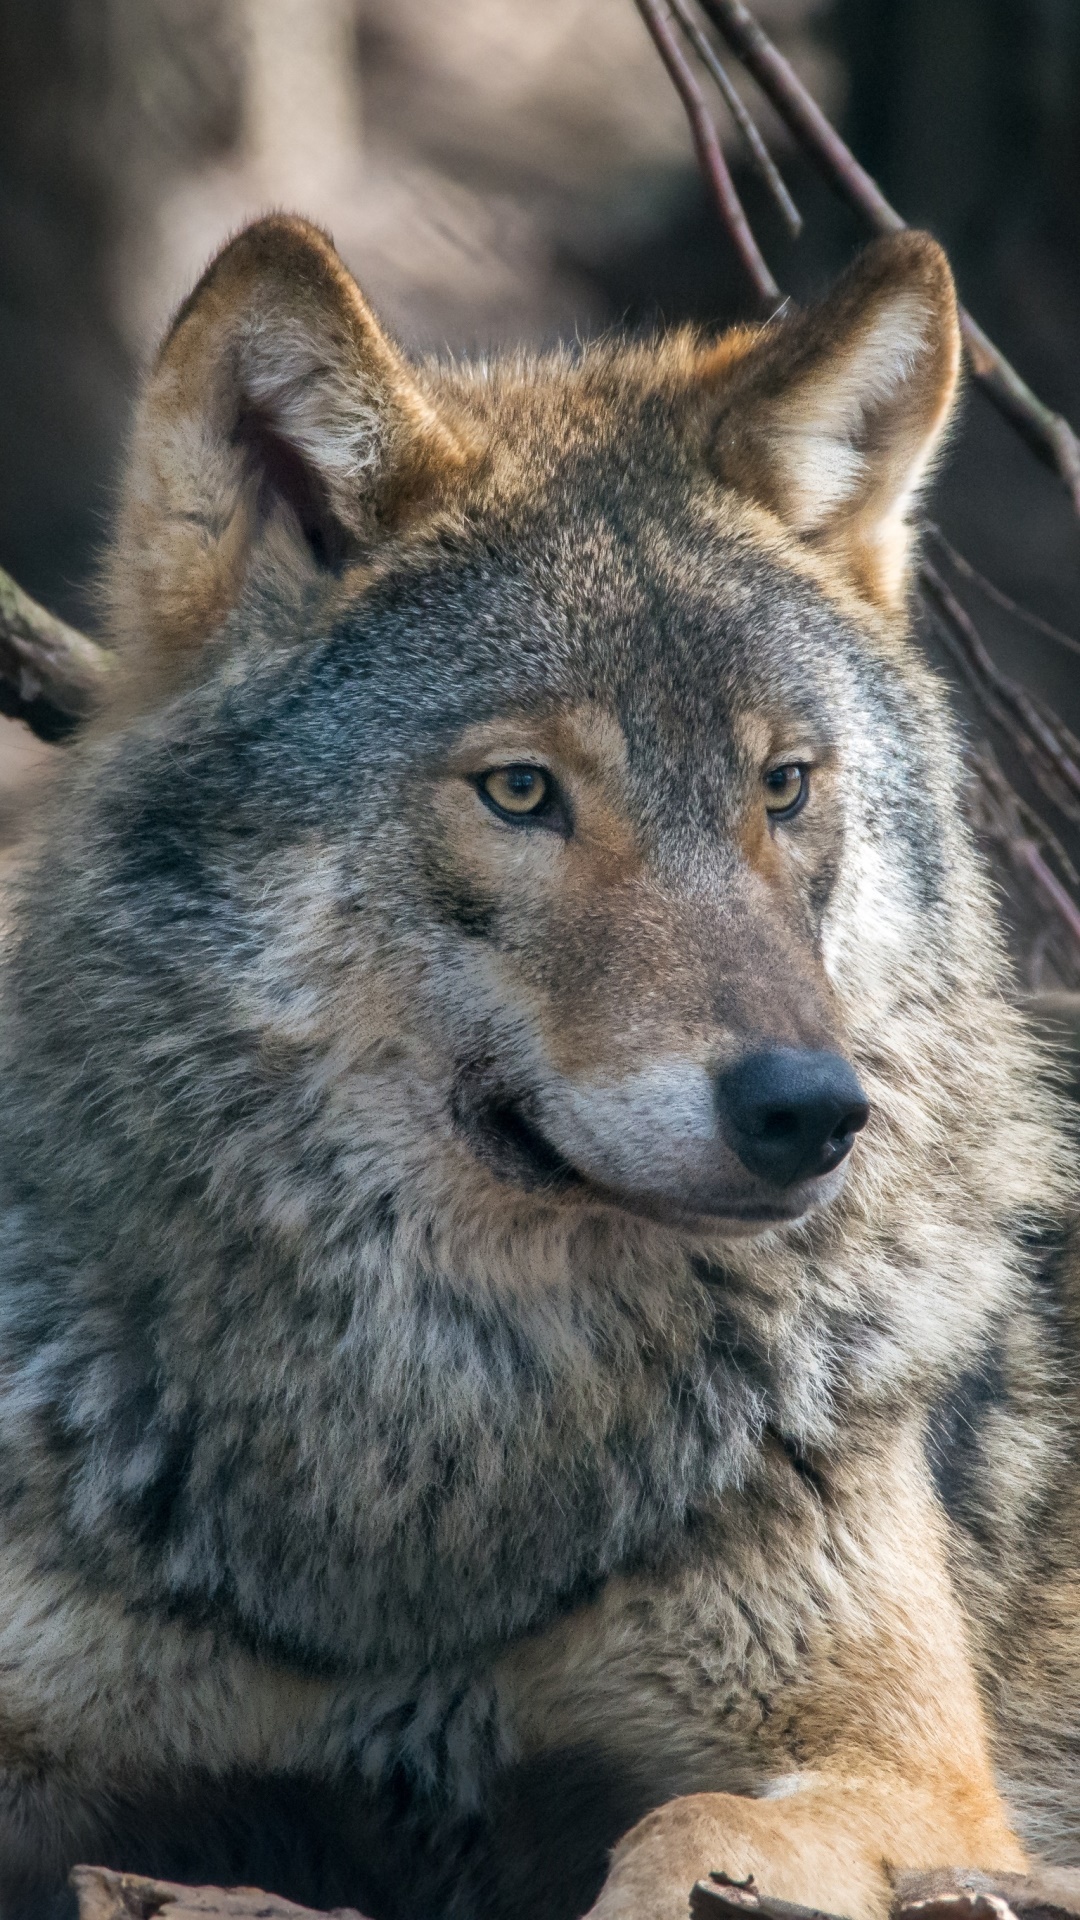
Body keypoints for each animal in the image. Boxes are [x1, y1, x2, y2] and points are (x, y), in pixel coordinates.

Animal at [0, 213, 1077, 1920]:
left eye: (785, 784)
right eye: (521, 792)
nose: (810, 1110)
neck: (458, 1430)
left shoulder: (921, 1784)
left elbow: (689, 1835)